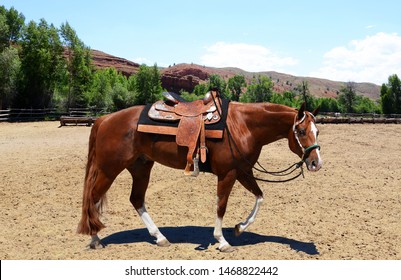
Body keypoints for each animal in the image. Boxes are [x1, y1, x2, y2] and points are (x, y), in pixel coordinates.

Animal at [77, 100, 322, 252]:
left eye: (317, 131)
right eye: (301, 131)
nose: (316, 163)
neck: (243, 126)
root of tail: (105, 119)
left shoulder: (243, 171)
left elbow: (260, 197)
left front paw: (240, 227)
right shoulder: (228, 174)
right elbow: (221, 205)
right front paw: (222, 240)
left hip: (141, 167)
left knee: (136, 199)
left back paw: (160, 237)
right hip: (109, 169)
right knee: (93, 197)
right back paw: (95, 238)